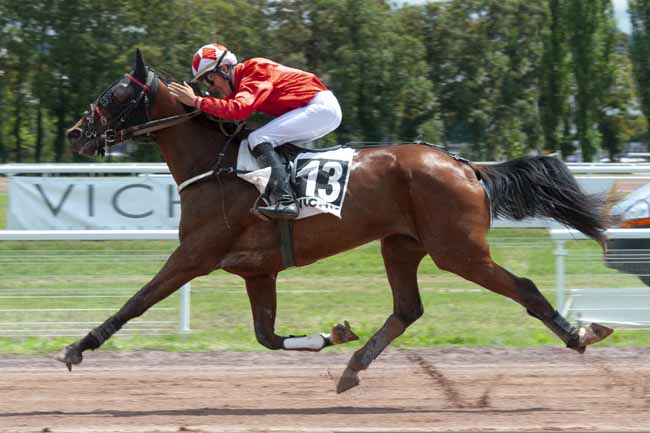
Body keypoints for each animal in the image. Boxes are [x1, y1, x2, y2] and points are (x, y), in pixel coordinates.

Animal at [60, 49, 614, 393]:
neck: (215, 166)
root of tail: (464, 164)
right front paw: (336, 334)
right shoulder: (257, 271)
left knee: (524, 288)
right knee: (407, 309)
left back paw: (580, 334)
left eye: (114, 95)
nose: (75, 134)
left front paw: (78, 347)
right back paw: (353, 366)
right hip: (401, 244)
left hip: (458, 250)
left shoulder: (194, 255)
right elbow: (266, 336)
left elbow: (136, 301)